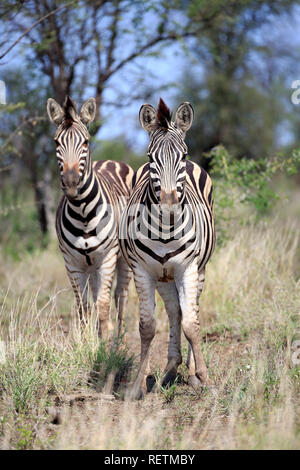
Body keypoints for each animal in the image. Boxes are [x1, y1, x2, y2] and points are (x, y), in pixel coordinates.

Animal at [47, 95, 134, 338]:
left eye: (85, 142)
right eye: (56, 143)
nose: (71, 184)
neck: (83, 212)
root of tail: (111, 160)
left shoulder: (108, 257)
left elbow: (104, 305)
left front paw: (104, 344)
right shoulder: (72, 262)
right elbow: (83, 306)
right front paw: (87, 342)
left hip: (122, 258)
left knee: (120, 296)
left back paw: (119, 338)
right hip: (91, 265)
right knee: (96, 297)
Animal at [119, 97, 216, 398]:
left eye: (182, 157)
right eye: (151, 158)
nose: (169, 207)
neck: (165, 231)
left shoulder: (189, 268)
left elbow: (192, 325)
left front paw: (203, 377)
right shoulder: (142, 271)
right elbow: (148, 327)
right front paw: (139, 383)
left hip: (199, 270)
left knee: (191, 310)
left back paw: (191, 372)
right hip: (164, 276)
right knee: (175, 311)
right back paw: (172, 368)